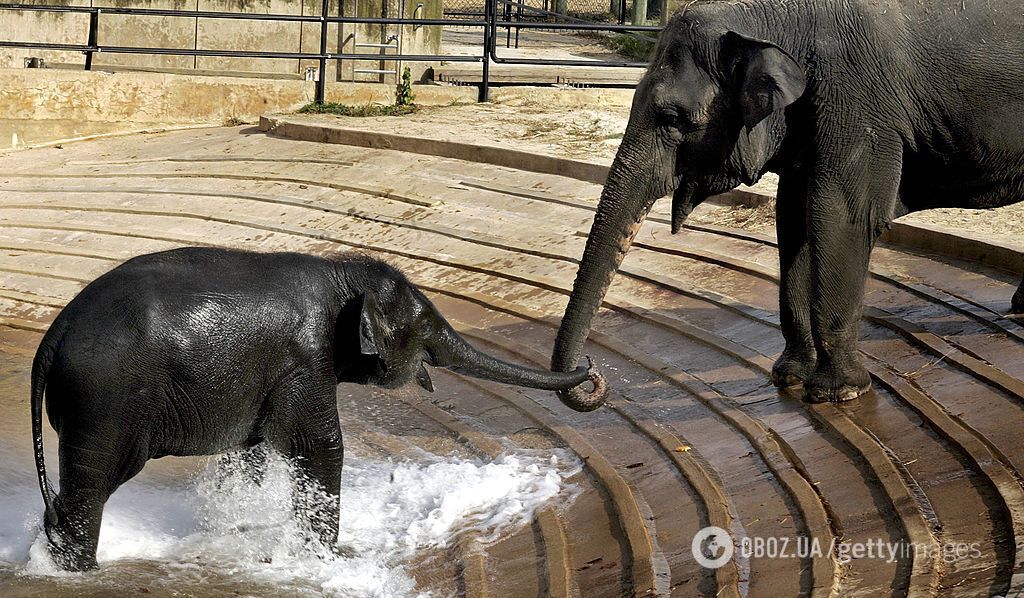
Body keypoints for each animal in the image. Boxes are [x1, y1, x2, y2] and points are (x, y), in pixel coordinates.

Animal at [32, 246, 606, 569]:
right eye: (426, 328)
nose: (595, 371)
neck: (341, 275)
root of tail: (53, 334)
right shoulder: (305, 357)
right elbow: (319, 446)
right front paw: (332, 558)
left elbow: (252, 451)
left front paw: (238, 531)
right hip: (104, 401)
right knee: (92, 483)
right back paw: (78, 571)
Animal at [552, 0, 1024, 403]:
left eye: (672, 118)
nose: (591, 374)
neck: (775, 17)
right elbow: (793, 215)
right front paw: (790, 376)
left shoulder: (856, 102)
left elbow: (845, 216)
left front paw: (840, 393)